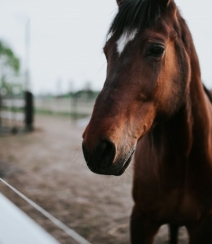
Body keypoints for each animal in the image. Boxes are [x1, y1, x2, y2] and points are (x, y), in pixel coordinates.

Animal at [81, 0, 212, 242]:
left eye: (156, 49)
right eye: (106, 51)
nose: (96, 147)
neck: (184, 155)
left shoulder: (204, 226)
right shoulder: (141, 219)